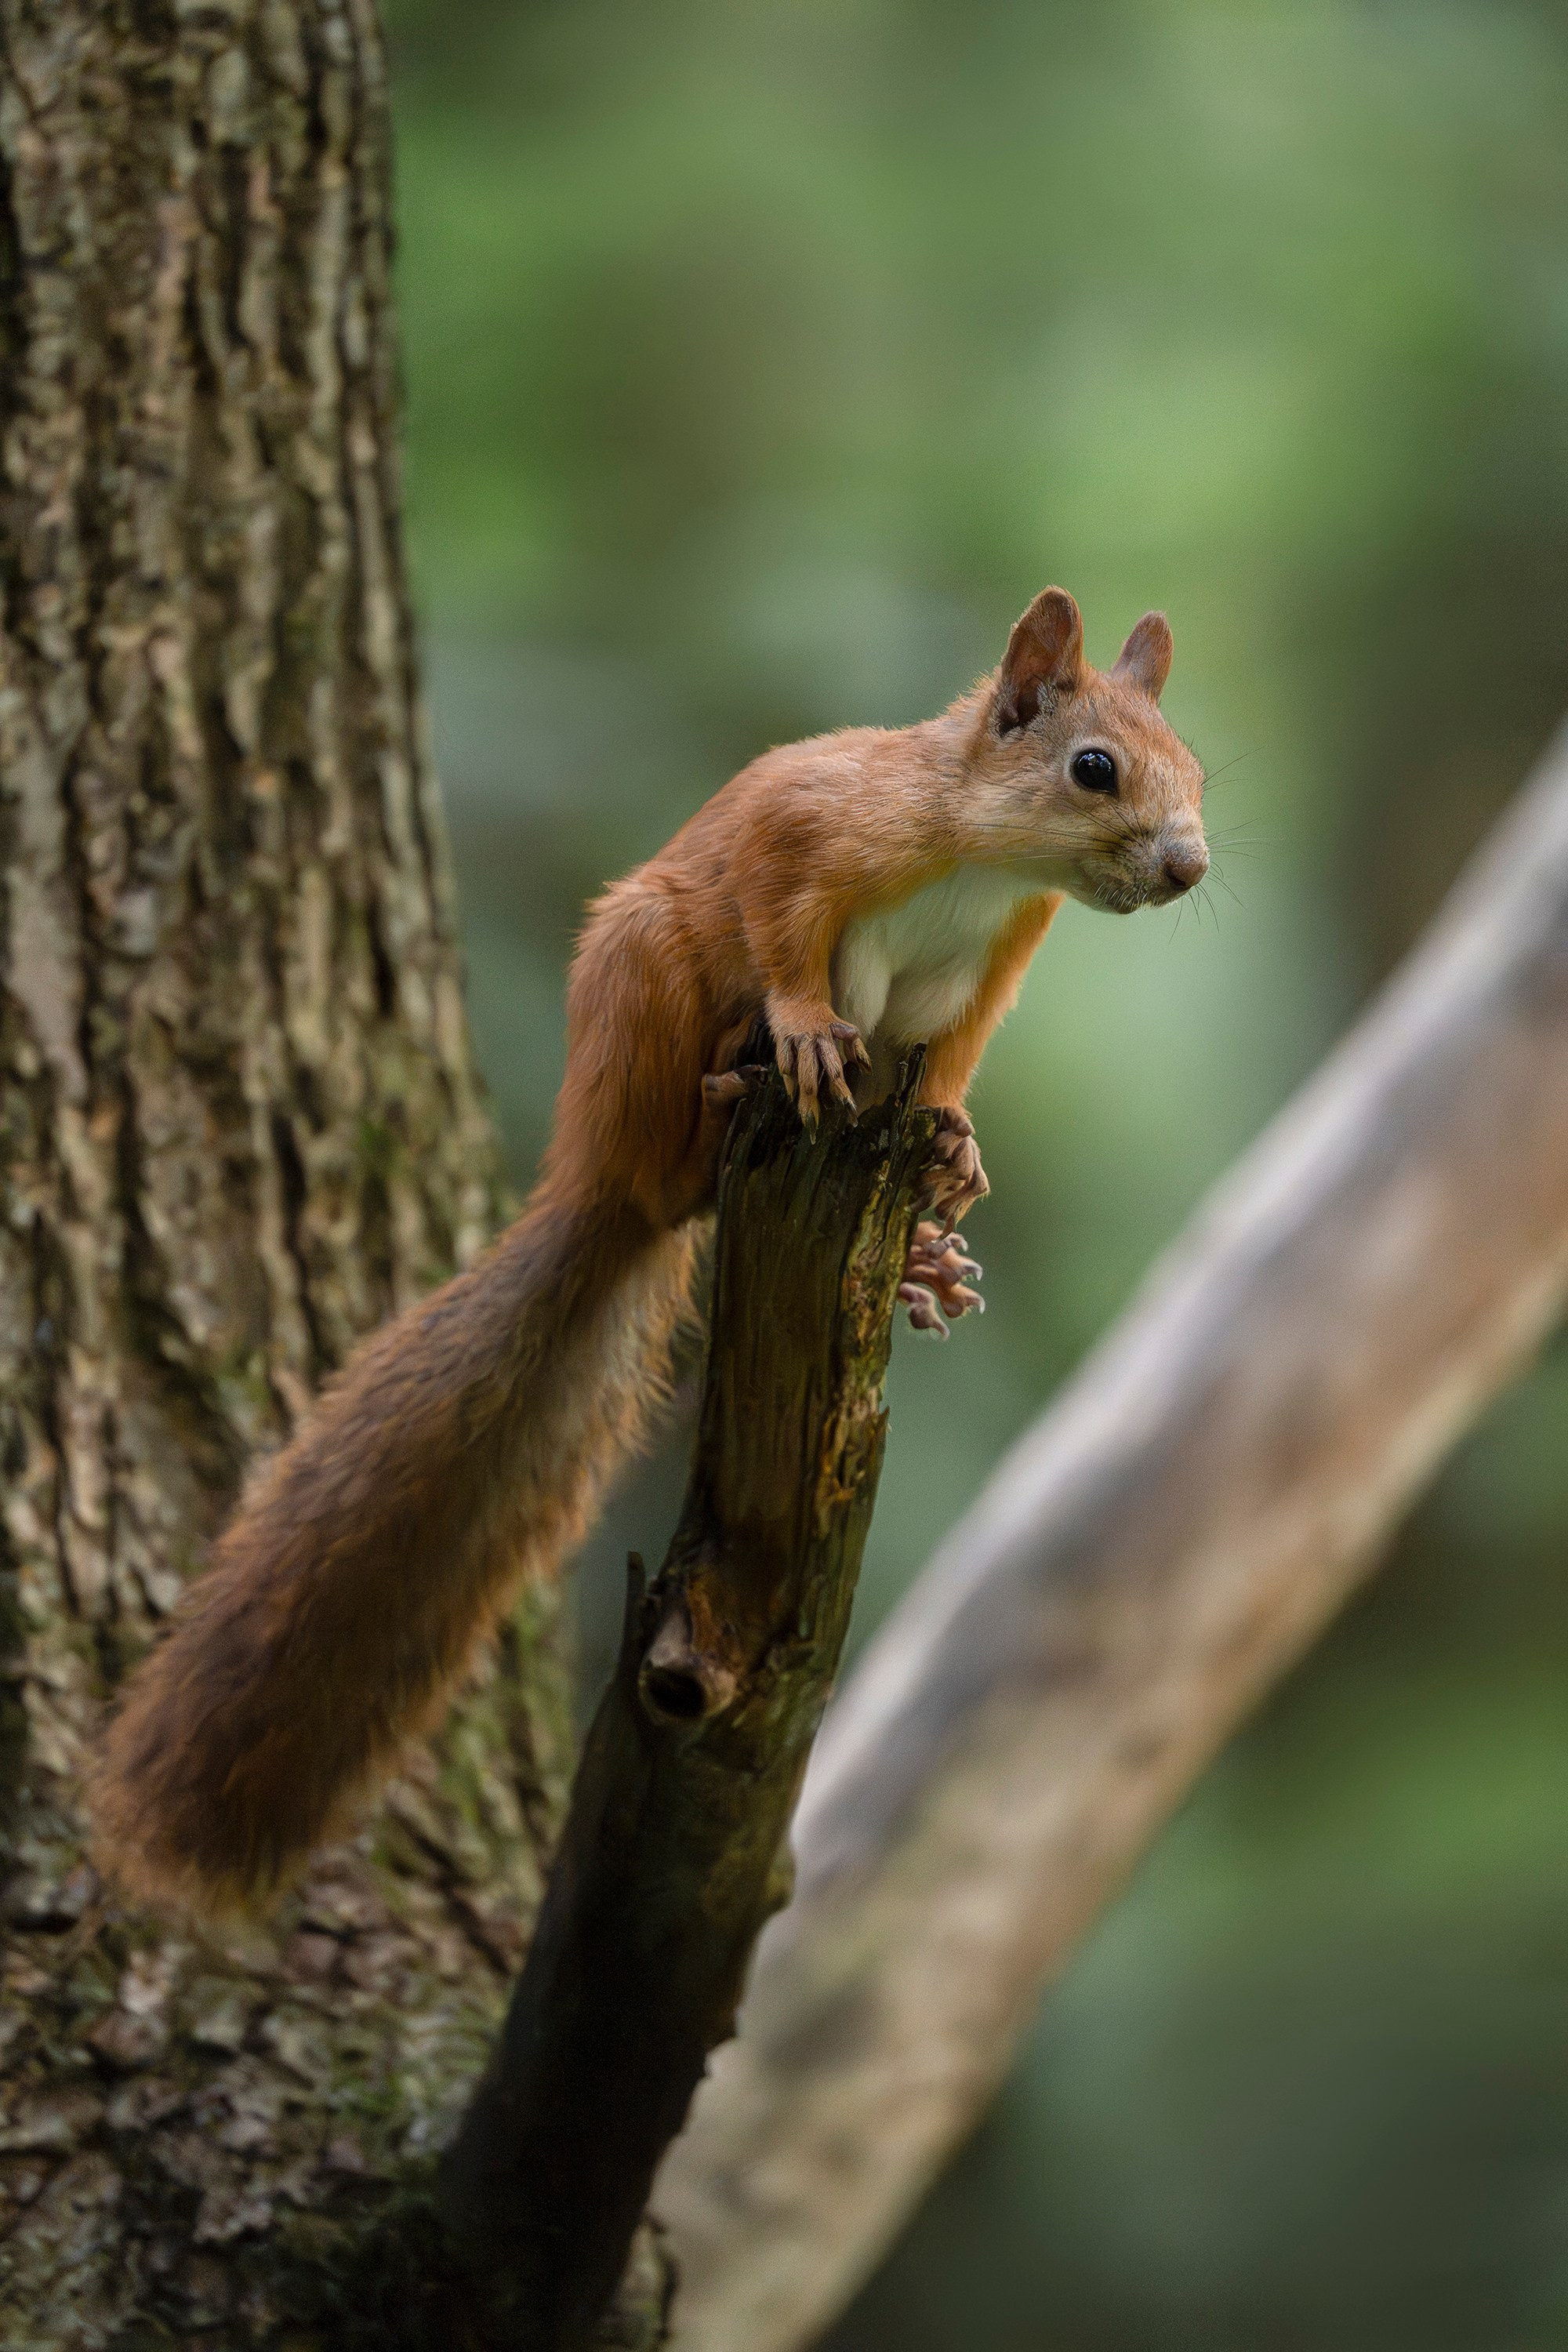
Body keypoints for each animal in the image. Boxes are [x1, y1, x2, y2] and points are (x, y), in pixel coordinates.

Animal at [90, 586, 1208, 1914]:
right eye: (1093, 768)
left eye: (1197, 768)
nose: (1190, 867)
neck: (985, 867)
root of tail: (597, 1178)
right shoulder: (812, 834)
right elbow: (786, 929)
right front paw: (805, 1028)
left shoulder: (979, 981)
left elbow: (949, 1071)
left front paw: (955, 1148)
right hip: (645, 972)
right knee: (676, 1173)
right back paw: (728, 1096)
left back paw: (920, 1260)